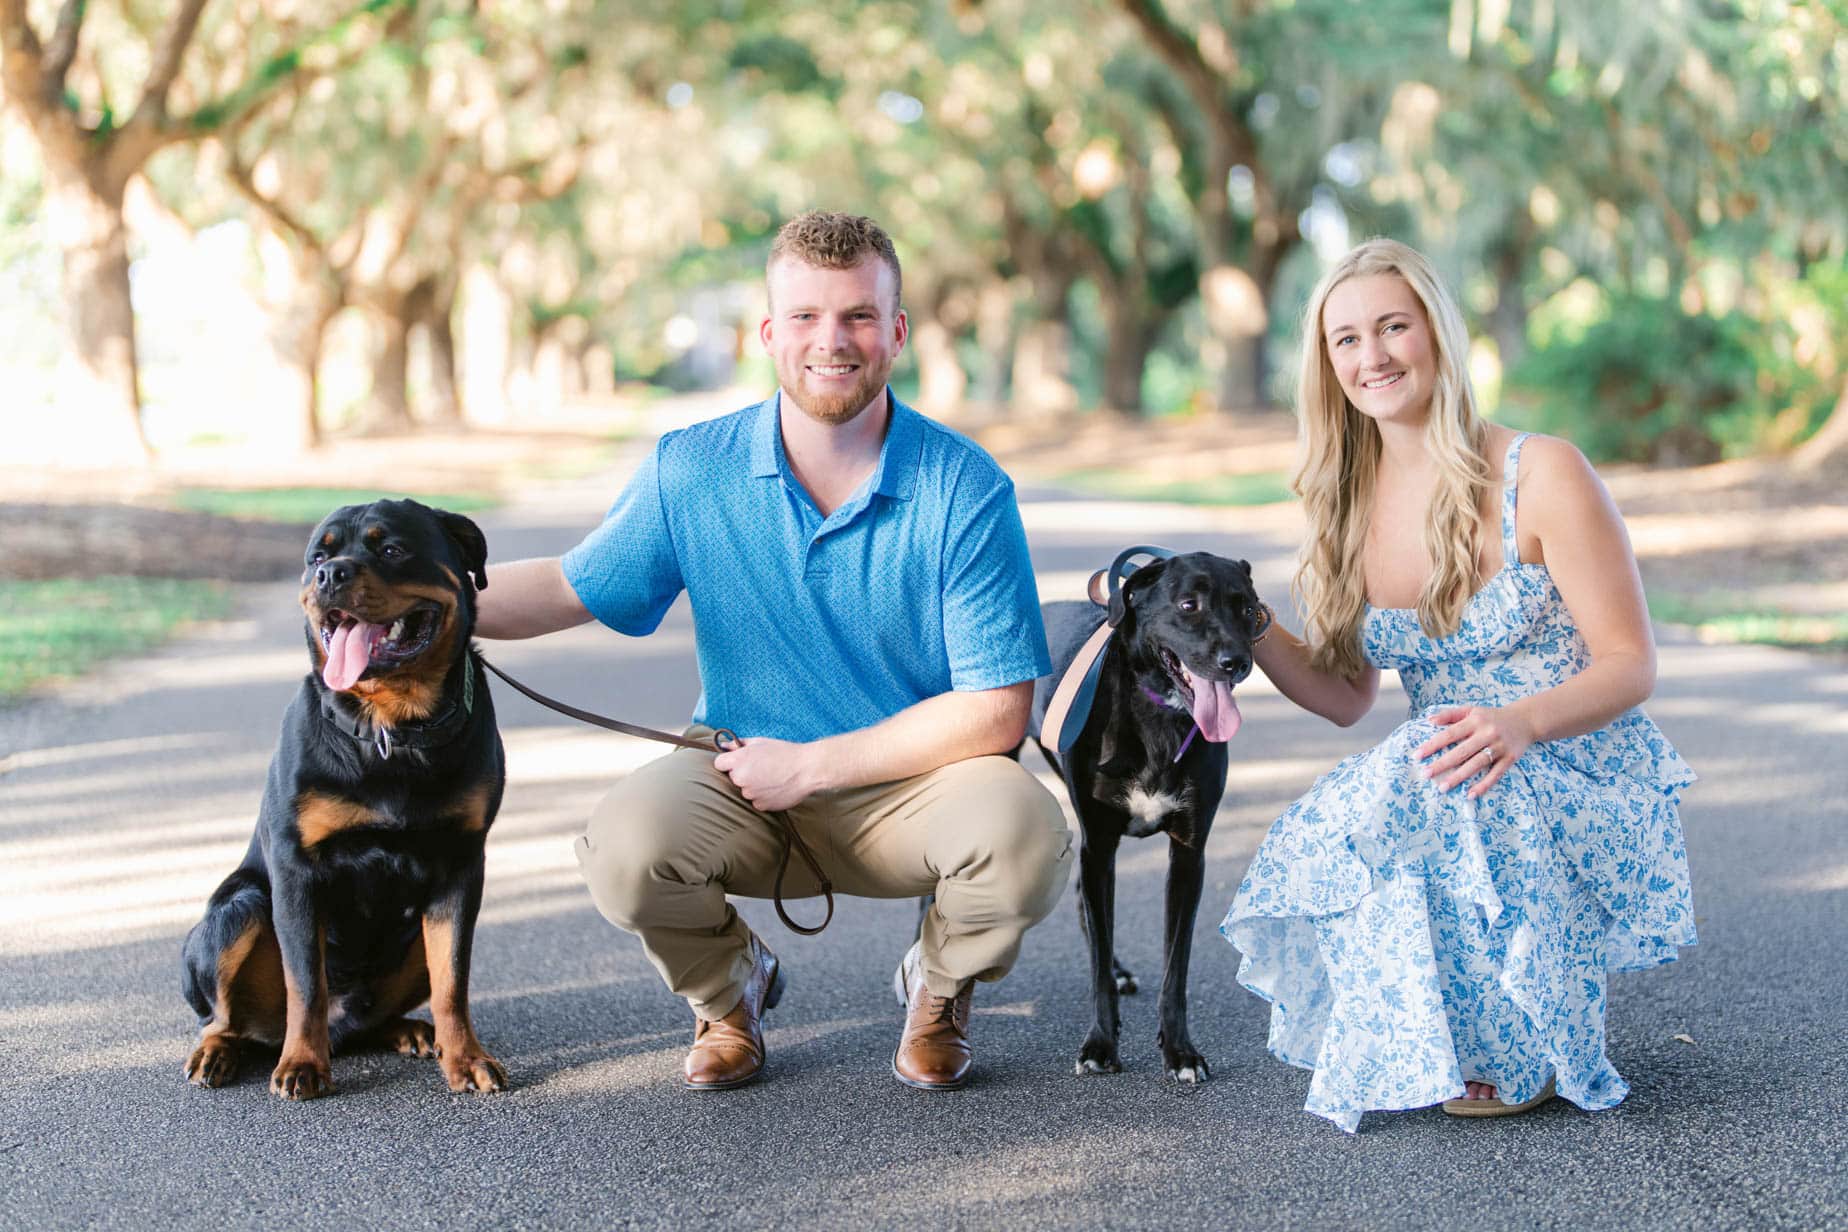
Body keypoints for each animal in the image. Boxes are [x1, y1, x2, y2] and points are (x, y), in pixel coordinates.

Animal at [180, 498, 506, 1100]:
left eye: (393, 548)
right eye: (318, 556)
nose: (331, 575)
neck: (391, 727)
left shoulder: (460, 866)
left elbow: (453, 980)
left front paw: (467, 1058)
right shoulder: (296, 869)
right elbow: (306, 983)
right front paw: (303, 1065)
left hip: (409, 941)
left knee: (385, 1010)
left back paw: (411, 1031)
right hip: (238, 910)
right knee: (223, 1016)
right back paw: (217, 1052)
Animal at [1034, 554, 1264, 1086]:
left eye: (1247, 608)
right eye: (1188, 604)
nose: (1236, 662)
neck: (1158, 715)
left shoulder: (1189, 855)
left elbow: (1174, 969)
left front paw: (1181, 1052)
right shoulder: (1099, 847)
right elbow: (1098, 966)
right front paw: (1100, 1043)